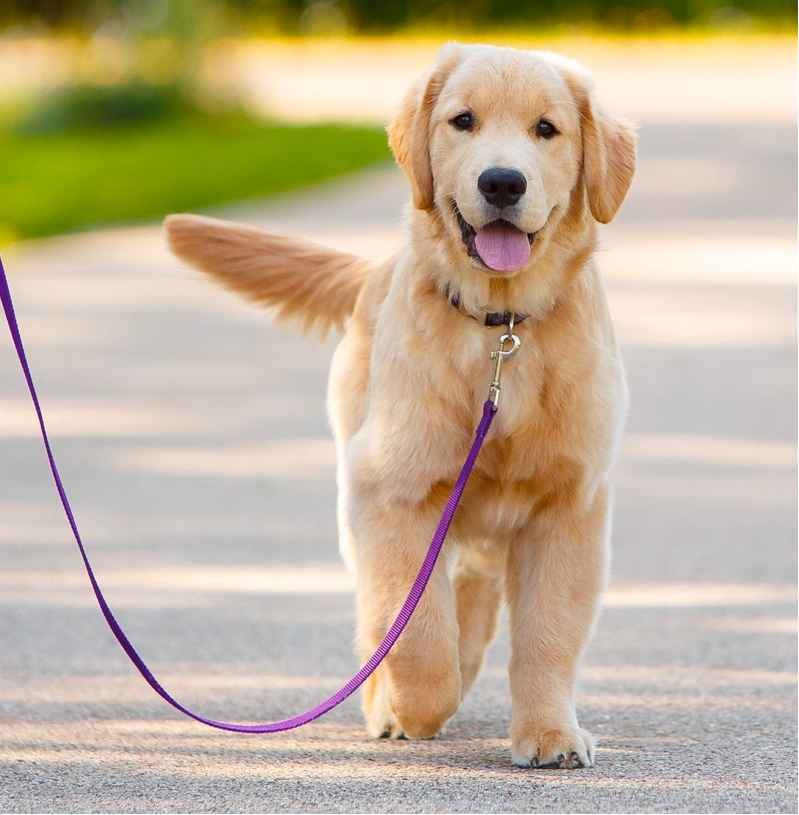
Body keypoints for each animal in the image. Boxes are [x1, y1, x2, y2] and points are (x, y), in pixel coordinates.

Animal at [167, 43, 636, 772]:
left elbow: (548, 633)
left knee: (471, 588)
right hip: (359, 495)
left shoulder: (570, 504)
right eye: (462, 121)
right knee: (376, 620)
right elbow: (413, 629)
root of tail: (373, 273)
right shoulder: (395, 491)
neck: (500, 326)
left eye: (547, 130)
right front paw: (414, 708)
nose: (503, 183)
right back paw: (386, 702)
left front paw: (550, 732)